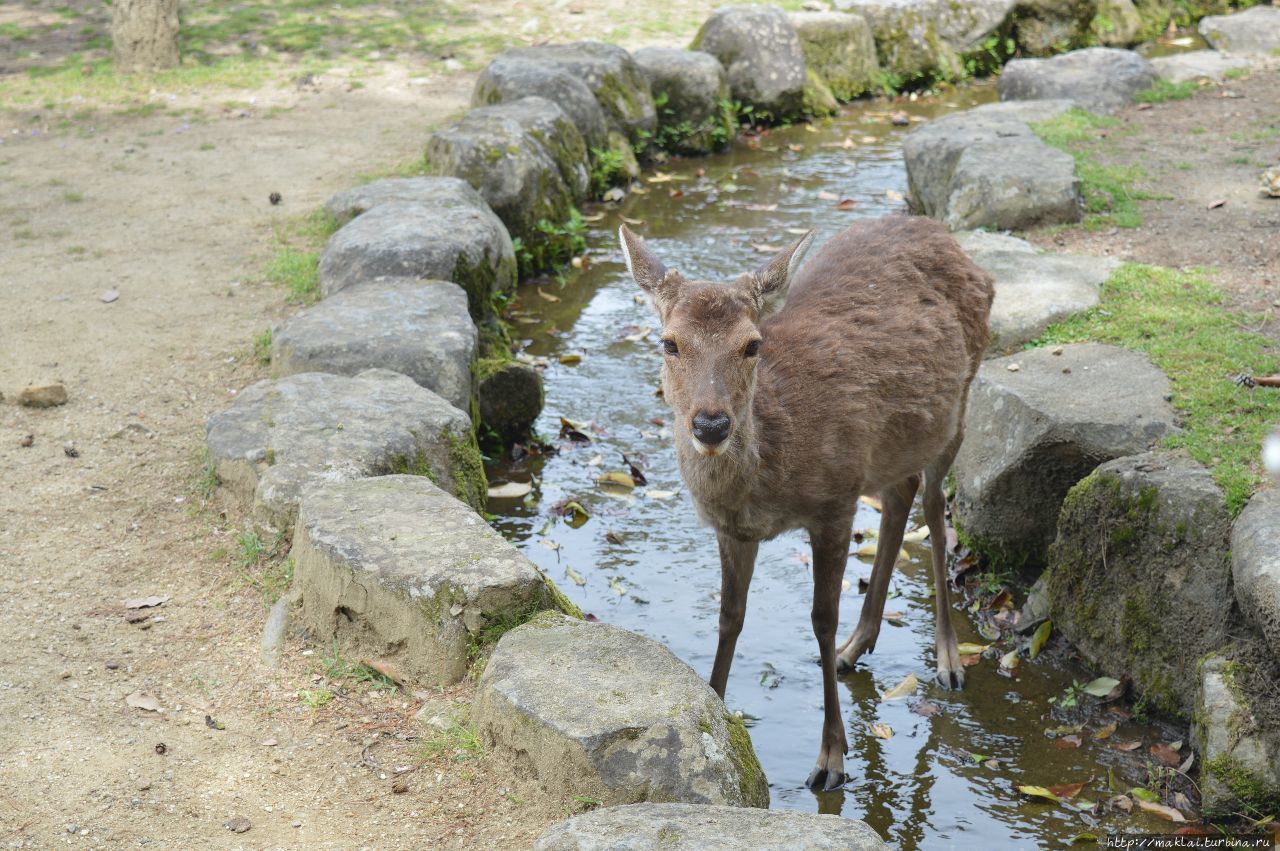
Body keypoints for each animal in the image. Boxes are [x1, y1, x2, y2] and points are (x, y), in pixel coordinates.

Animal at [614, 213, 993, 788]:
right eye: (669, 342)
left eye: (751, 345)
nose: (711, 424)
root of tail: (944, 235)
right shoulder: (733, 530)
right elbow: (729, 616)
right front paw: (714, 712)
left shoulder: (836, 499)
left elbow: (820, 618)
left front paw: (831, 757)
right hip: (896, 440)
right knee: (901, 493)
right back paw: (855, 648)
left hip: (960, 402)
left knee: (932, 504)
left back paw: (947, 659)